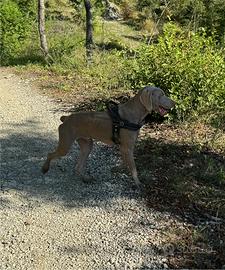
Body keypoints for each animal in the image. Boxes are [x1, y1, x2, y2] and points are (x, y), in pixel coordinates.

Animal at [42, 86, 176, 186]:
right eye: (161, 95)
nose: (174, 103)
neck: (134, 113)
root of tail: (66, 118)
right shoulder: (127, 147)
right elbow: (133, 168)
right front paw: (138, 183)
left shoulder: (124, 147)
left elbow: (125, 162)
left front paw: (118, 169)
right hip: (65, 144)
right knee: (50, 154)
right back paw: (45, 168)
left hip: (87, 145)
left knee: (78, 167)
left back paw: (85, 178)